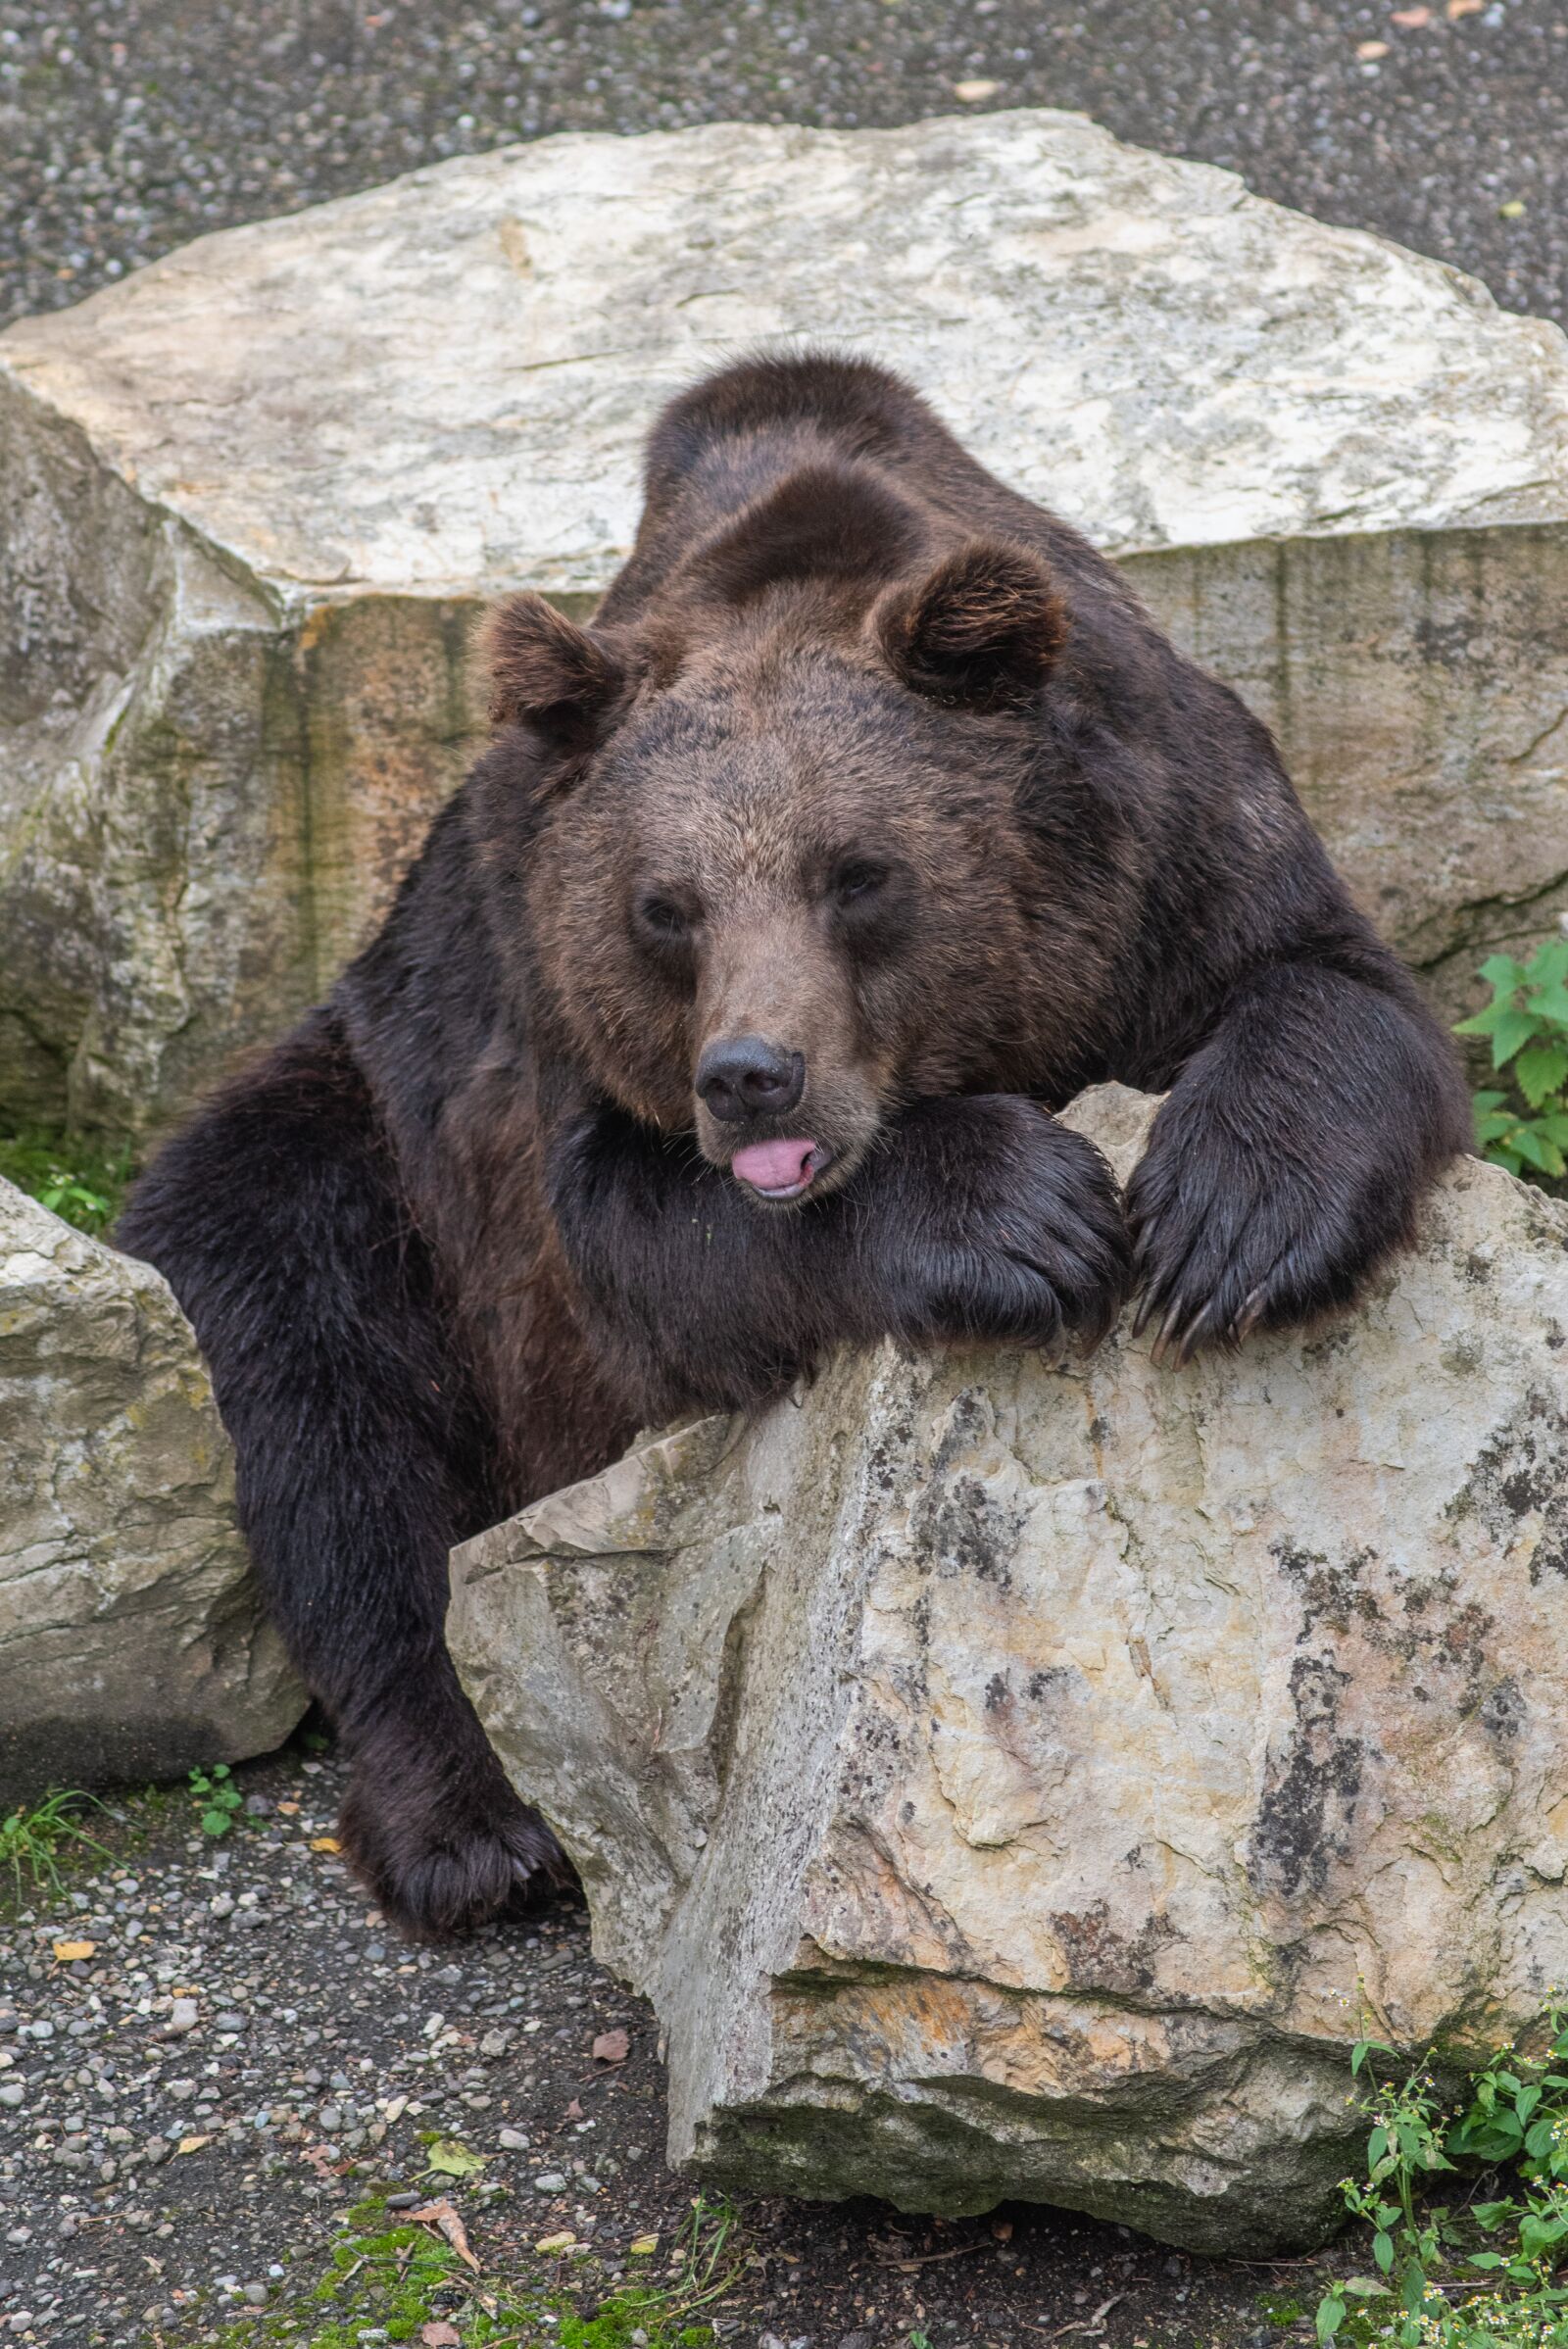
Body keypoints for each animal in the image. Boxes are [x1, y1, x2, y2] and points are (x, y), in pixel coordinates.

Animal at [117, 349, 1470, 1940]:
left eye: (858, 872)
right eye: (665, 905)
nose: (753, 1077)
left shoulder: (1181, 848)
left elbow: (1343, 997)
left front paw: (1228, 1233)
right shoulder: (549, 1032)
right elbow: (654, 1248)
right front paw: (1021, 1216)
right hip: (364, 1141)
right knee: (316, 1388)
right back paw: (473, 1829)